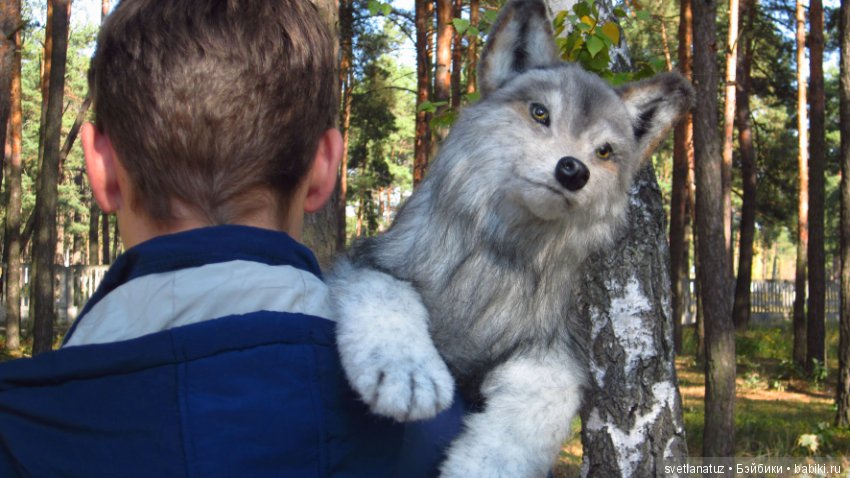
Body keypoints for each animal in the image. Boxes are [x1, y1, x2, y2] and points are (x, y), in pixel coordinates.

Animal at [328, 0, 694, 476]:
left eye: (604, 151)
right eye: (540, 113)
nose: (573, 170)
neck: (501, 256)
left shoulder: (551, 353)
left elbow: (524, 426)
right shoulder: (367, 260)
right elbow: (388, 296)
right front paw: (409, 375)